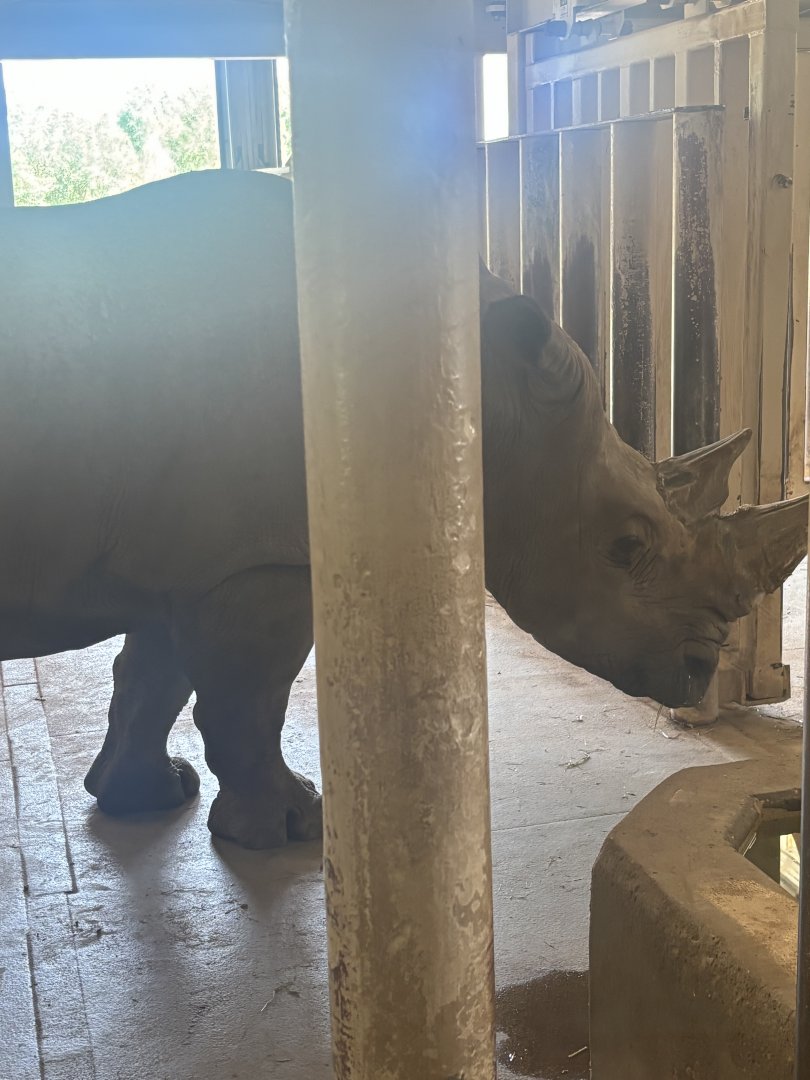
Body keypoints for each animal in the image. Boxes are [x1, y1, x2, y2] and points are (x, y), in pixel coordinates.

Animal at [0, 169, 805, 849]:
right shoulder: (264, 558)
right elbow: (247, 695)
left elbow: (152, 675)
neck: (488, 399)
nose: (700, 670)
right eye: (624, 548)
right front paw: (293, 827)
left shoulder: (194, 556)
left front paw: (150, 797)